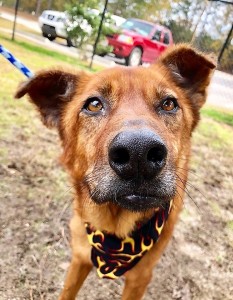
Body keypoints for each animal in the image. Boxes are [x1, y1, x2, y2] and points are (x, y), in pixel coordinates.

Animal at [14, 45, 216, 300]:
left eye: (169, 104)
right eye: (93, 104)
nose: (139, 152)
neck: (115, 232)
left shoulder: (140, 278)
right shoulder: (80, 257)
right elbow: (67, 291)